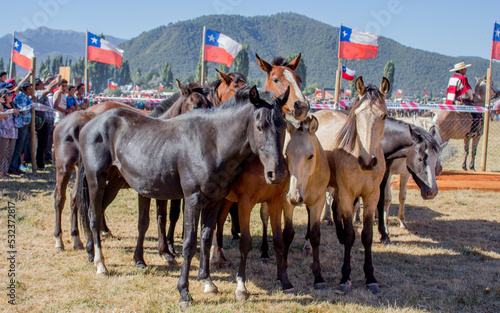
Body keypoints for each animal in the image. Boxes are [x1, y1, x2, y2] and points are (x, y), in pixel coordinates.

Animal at [78, 85, 290, 308]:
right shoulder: (192, 199)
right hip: (96, 181)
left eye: (284, 125)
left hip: (114, 183)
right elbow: (189, 243)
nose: (277, 173)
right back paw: (100, 264)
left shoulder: (214, 201)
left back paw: (92, 253)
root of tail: (90, 123)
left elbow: (206, 238)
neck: (213, 142)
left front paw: (207, 282)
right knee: (94, 217)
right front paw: (184, 291)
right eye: (259, 127)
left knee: (98, 212)